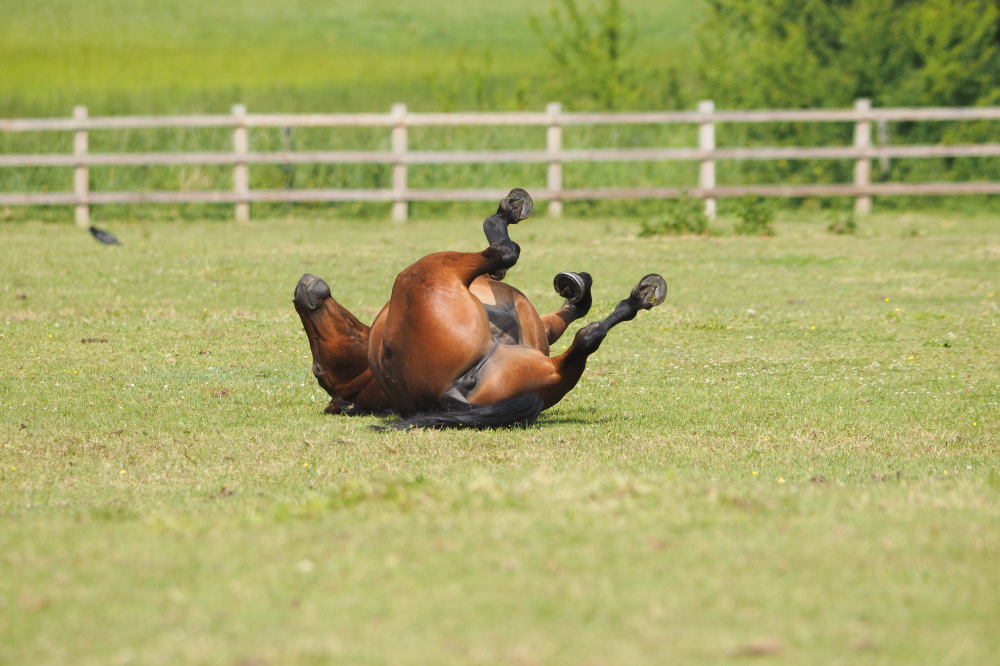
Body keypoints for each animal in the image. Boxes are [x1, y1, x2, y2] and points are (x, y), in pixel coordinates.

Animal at [293, 188, 667, 429]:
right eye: (319, 368)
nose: (301, 293)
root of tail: (447, 393)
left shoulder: (538, 328)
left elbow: (566, 313)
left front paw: (575, 288)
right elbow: (507, 259)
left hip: (546, 375)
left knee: (576, 347)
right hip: (430, 268)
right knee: (582, 330)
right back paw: (641, 295)